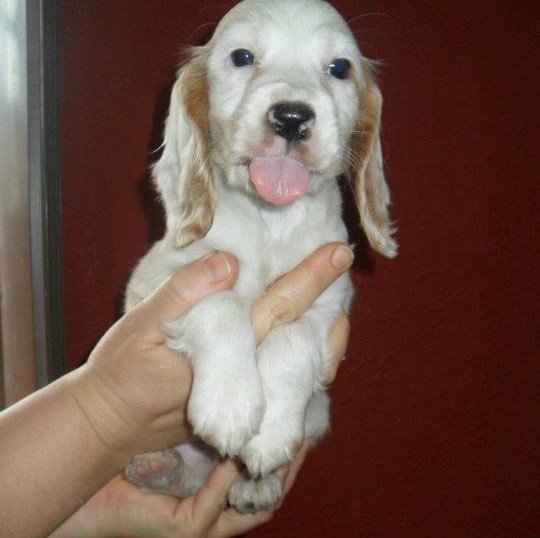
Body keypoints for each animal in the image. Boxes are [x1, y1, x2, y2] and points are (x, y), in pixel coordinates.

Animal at [125, 0, 396, 510]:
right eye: (242, 57)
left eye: (340, 68)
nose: (291, 117)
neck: (271, 219)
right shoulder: (164, 280)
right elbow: (222, 304)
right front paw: (230, 403)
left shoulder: (329, 301)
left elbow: (293, 337)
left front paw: (268, 434)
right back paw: (156, 467)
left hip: (318, 412)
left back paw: (254, 484)